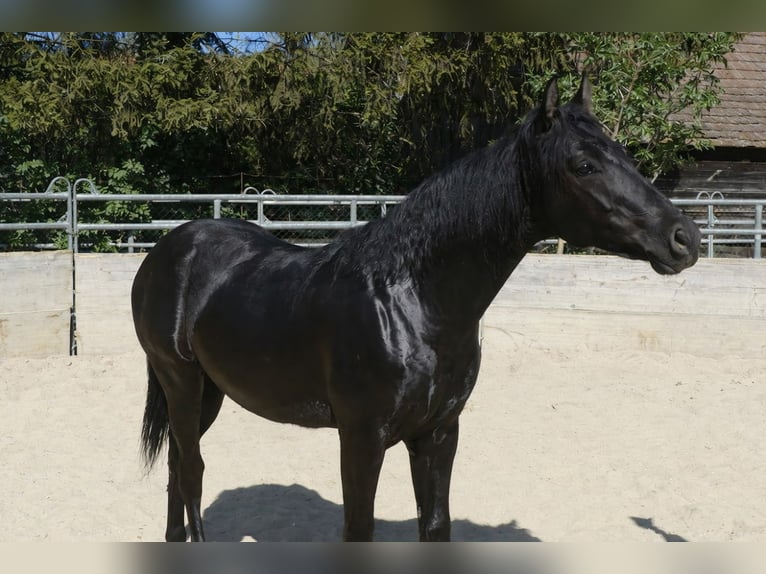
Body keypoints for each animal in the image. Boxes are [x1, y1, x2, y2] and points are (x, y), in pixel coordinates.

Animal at [132, 74, 700, 542]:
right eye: (583, 165)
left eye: (624, 155)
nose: (685, 238)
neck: (413, 304)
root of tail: (169, 248)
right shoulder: (361, 440)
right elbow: (358, 530)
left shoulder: (438, 433)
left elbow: (436, 525)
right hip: (181, 381)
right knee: (192, 472)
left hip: (209, 392)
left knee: (177, 468)